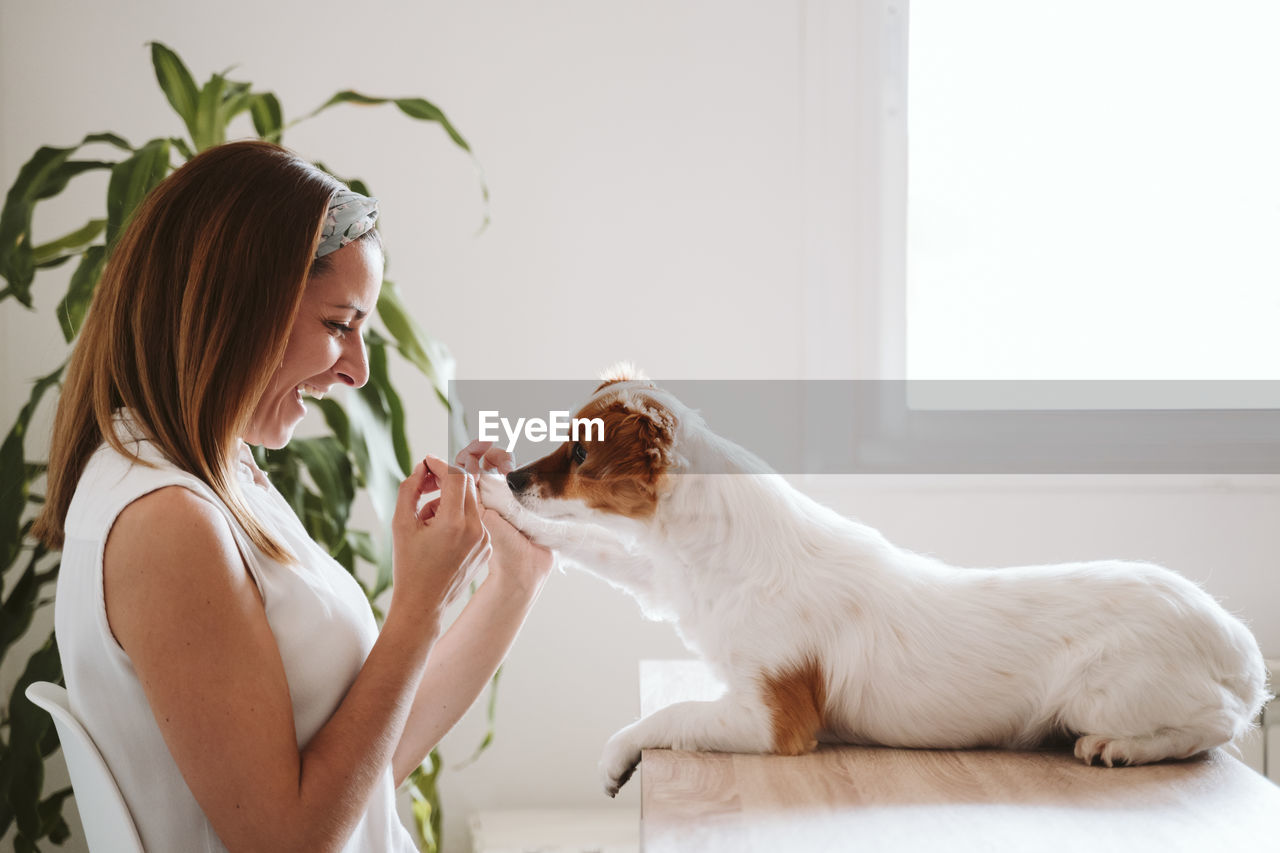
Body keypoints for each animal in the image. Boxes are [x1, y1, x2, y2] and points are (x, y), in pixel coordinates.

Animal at [478, 368, 1269, 794]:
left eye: (579, 455)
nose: (514, 476)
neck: (710, 547)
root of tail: (1234, 640)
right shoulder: (663, 577)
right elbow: (589, 543)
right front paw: (493, 502)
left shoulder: (774, 719)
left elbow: (666, 716)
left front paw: (616, 757)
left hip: (1106, 692)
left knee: (1219, 723)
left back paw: (1121, 747)